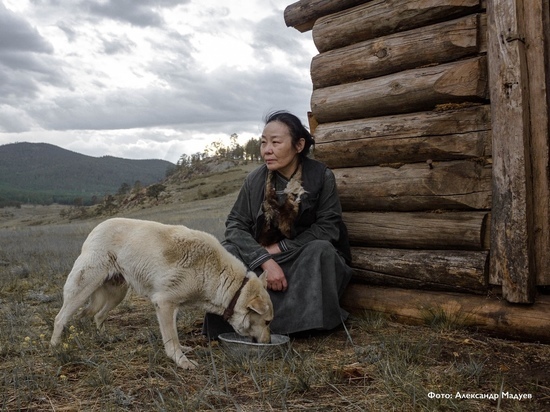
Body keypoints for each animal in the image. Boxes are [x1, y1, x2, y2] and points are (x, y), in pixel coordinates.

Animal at [51, 217, 274, 368]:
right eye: (267, 322)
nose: (269, 343)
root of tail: (96, 228)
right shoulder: (164, 304)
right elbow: (171, 339)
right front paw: (182, 361)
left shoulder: (173, 307)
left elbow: (174, 336)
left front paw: (183, 351)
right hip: (82, 288)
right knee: (60, 317)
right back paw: (55, 346)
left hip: (117, 293)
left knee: (98, 315)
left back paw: (104, 338)